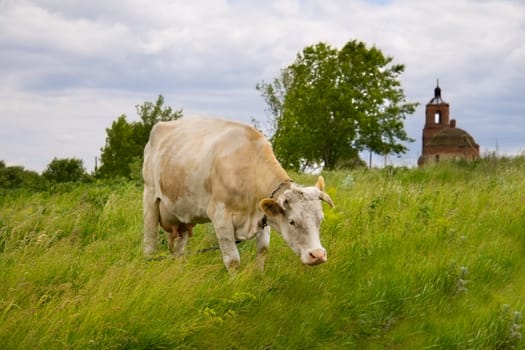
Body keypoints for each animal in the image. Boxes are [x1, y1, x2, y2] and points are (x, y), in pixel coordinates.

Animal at [141, 117, 334, 270]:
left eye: (320, 220)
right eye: (292, 222)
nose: (318, 255)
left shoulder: (263, 217)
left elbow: (262, 251)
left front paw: (259, 277)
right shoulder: (220, 216)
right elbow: (232, 260)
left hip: (181, 216)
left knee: (179, 251)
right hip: (150, 197)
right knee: (150, 244)